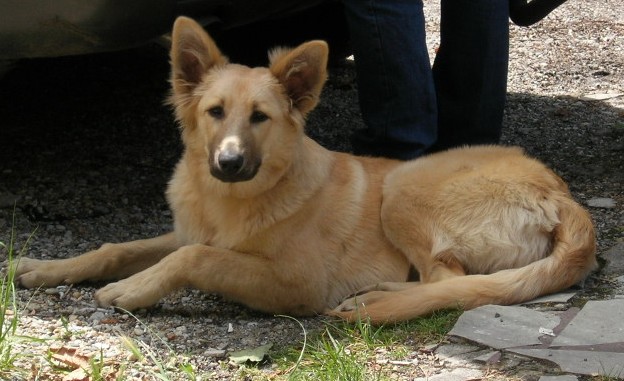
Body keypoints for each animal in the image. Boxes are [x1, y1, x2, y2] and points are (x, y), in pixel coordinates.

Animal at [13, 16, 596, 322]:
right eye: (215, 112)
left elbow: (196, 258)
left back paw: (376, 298)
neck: (231, 202)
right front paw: (44, 268)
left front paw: (131, 290)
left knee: (447, 281)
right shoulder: (187, 230)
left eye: (261, 118)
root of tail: (563, 195)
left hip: (404, 187)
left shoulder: (296, 283)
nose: (229, 162)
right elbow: (118, 246)